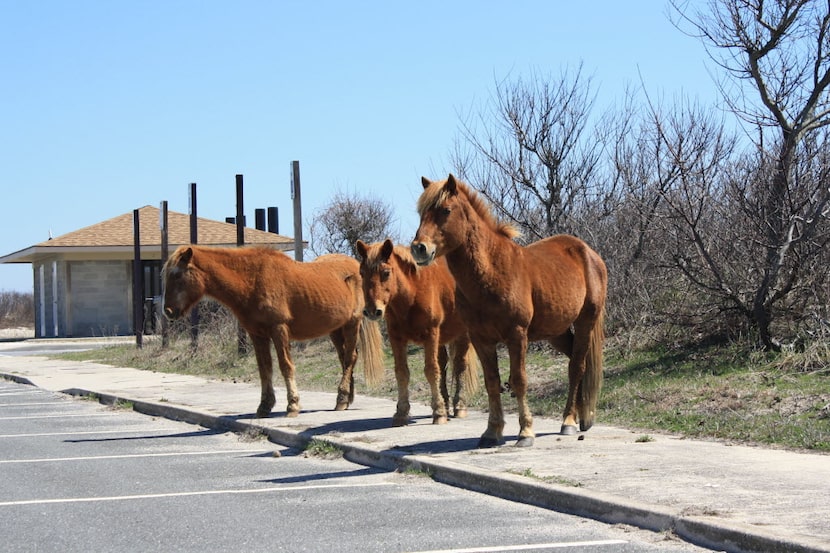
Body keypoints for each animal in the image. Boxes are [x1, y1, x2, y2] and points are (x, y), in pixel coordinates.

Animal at [161, 244, 386, 416]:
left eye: (177, 275)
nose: (168, 311)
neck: (252, 280)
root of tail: (355, 266)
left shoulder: (279, 330)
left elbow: (286, 366)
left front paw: (292, 405)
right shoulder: (257, 334)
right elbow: (265, 369)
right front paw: (264, 406)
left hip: (352, 324)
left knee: (349, 359)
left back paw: (341, 399)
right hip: (335, 329)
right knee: (346, 358)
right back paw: (347, 398)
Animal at [354, 239, 478, 424]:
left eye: (385, 273)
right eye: (362, 273)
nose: (371, 311)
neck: (412, 294)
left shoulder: (430, 335)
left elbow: (431, 370)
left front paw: (438, 413)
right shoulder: (397, 339)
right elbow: (402, 372)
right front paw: (401, 413)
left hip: (463, 335)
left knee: (459, 366)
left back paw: (459, 406)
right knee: (443, 365)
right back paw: (445, 403)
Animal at [412, 175, 608, 446]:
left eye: (446, 210)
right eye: (421, 213)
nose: (419, 248)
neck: (493, 271)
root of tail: (589, 253)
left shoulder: (517, 336)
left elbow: (519, 380)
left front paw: (525, 432)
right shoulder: (481, 339)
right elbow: (492, 382)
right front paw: (492, 432)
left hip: (585, 322)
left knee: (576, 367)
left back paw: (568, 421)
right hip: (556, 332)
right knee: (576, 361)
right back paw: (581, 417)